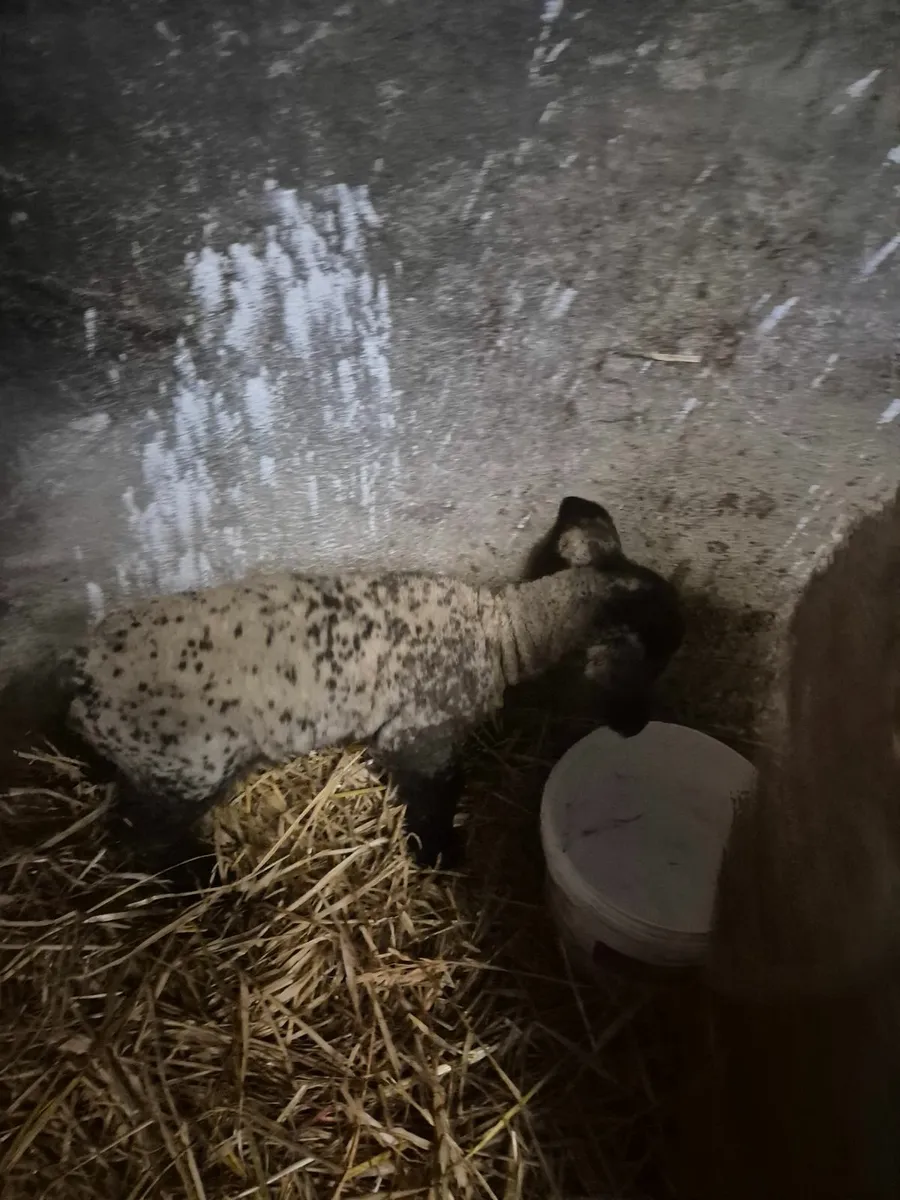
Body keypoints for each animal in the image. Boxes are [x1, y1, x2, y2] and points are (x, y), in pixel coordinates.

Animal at [65, 495, 684, 884]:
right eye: (659, 656)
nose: (637, 727)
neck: (501, 632)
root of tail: (82, 684)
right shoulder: (421, 733)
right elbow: (439, 793)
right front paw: (440, 855)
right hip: (187, 766)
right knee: (142, 833)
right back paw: (197, 879)